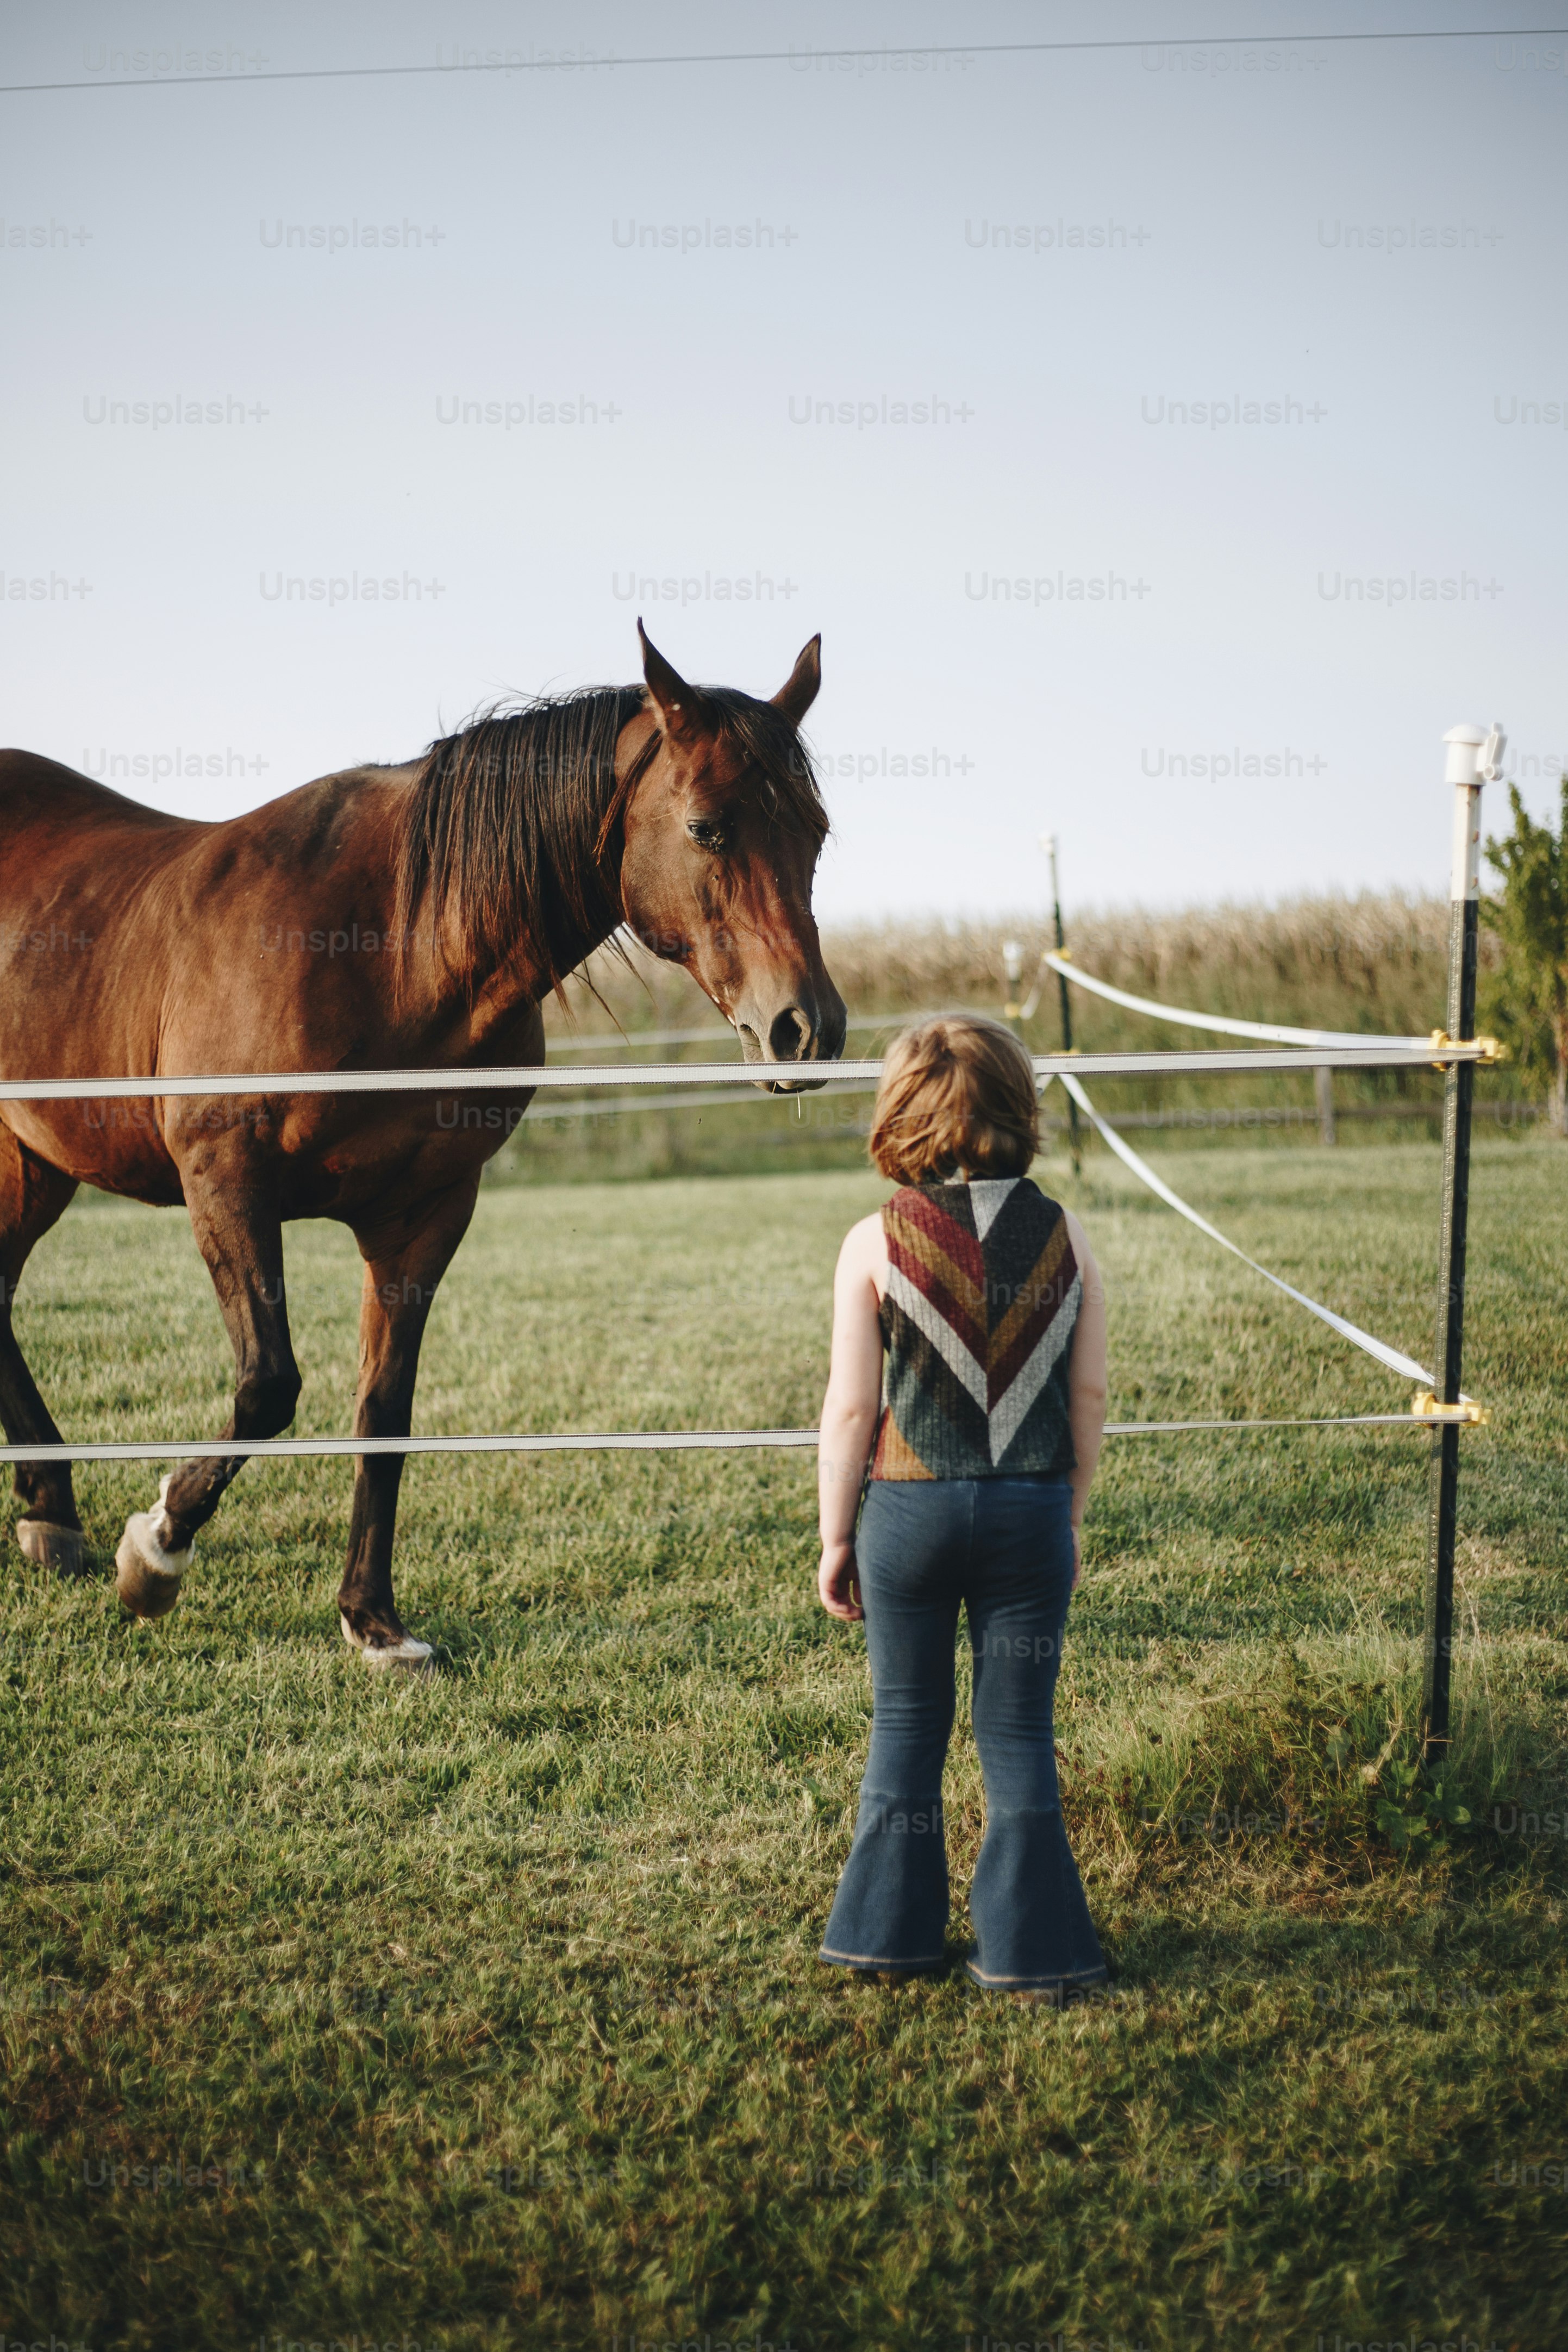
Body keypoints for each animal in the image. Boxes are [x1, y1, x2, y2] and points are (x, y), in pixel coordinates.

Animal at [0, 623, 844, 1666]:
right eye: (708, 829)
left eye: (815, 830)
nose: (804, 1028)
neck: (393, 943)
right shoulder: (226, 1180)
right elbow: (269, 1385)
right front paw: (155, 1552)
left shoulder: (423, 1215)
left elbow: (384, 1413)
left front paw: (374, 1620)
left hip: (34, 1166)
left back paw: (50, 1509)